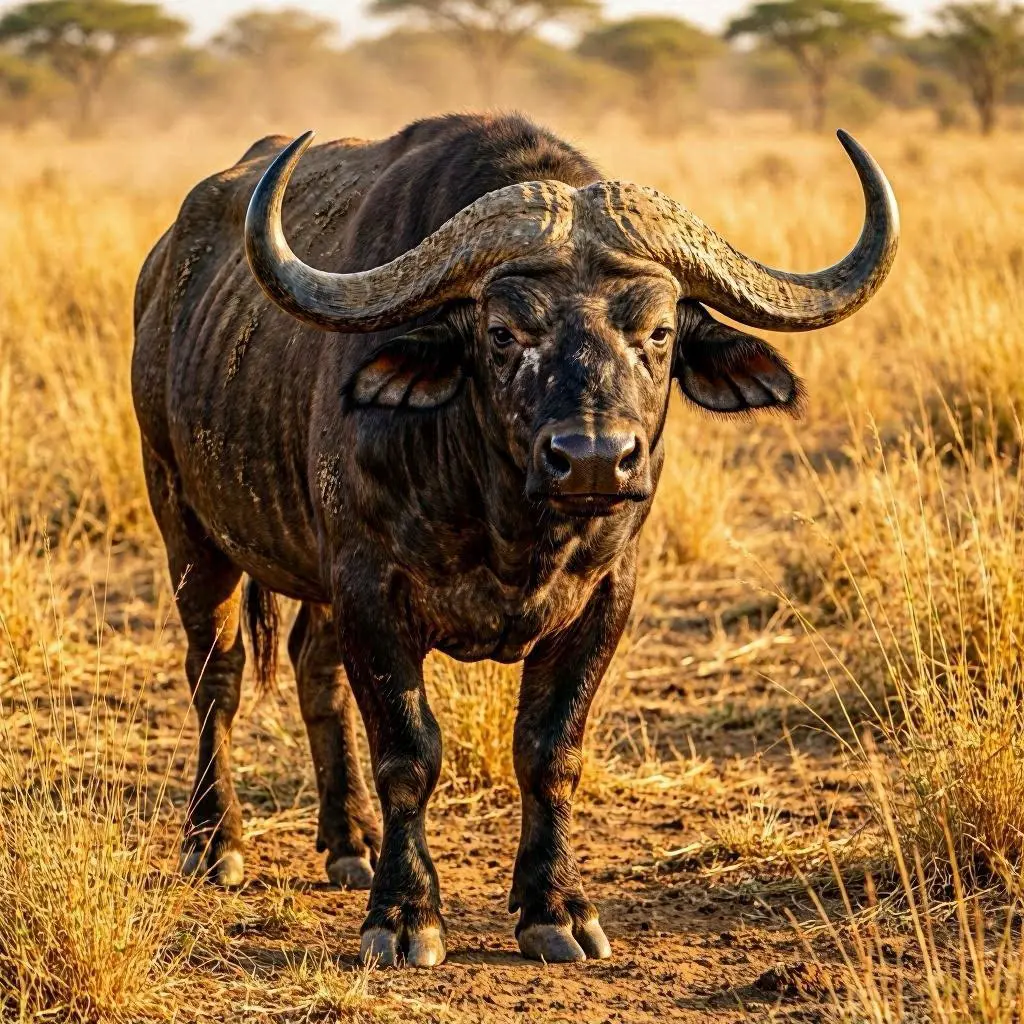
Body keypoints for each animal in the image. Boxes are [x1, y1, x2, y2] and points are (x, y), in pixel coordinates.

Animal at [132, 113, 897, 967]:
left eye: (660, 331)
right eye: (502, 332)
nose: (593, 457)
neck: (512, 520)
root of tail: (164, 271)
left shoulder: (604, 598)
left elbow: (549, 750)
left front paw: (554, 907)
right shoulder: (370, 588)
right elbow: (409, 751)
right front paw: (404, 915)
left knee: (313, 671)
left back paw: (350, 840)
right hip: (186, 524)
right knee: (217, 676)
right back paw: (215, 841)